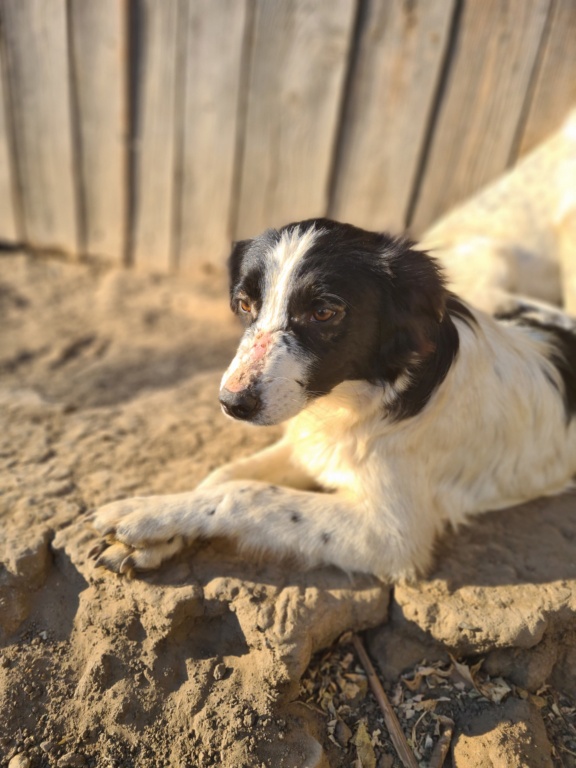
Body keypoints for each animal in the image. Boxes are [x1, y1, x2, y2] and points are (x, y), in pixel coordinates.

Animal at [89, 114, 576, 584]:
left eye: (324, 312)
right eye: (245, 304)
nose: (231, 403)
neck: (365, 398)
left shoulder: (392, 534)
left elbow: (245, 494)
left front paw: (141, 513)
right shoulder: (307, 445)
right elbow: (219, 477)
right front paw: (156, 535)